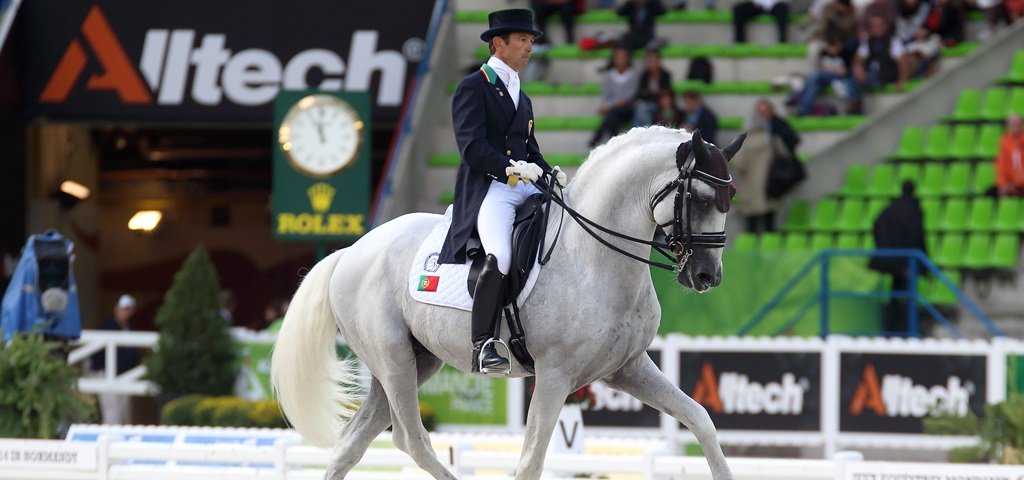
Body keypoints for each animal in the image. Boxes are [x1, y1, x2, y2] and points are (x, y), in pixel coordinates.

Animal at [272, 125, 749, 476]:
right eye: (700, 198)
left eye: (730, 198)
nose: (707, 276)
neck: (593, 256)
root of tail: (350, 251)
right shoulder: (555, 376)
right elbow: (530, 463)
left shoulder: (627, 368)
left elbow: (701, 420)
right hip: (392, 359)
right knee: (412, 440)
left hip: (414, 360)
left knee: (351, 443)